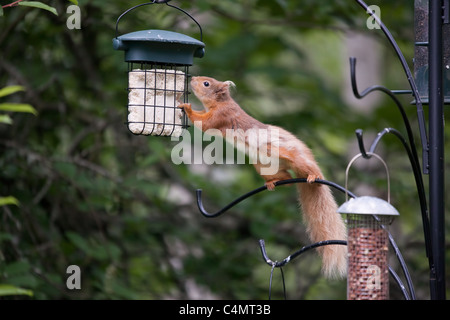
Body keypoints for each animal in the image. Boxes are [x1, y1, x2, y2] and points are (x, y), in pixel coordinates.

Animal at [179, 76, 348, 278]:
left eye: (207, 83)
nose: (192, 78)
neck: (220, 102)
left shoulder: (222, 116)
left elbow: (203, 123)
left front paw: (187, 107)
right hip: (263, 166)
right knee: (286, 177)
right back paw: (272, 183)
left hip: (290, 155)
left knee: (307, 167)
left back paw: (314, 175)